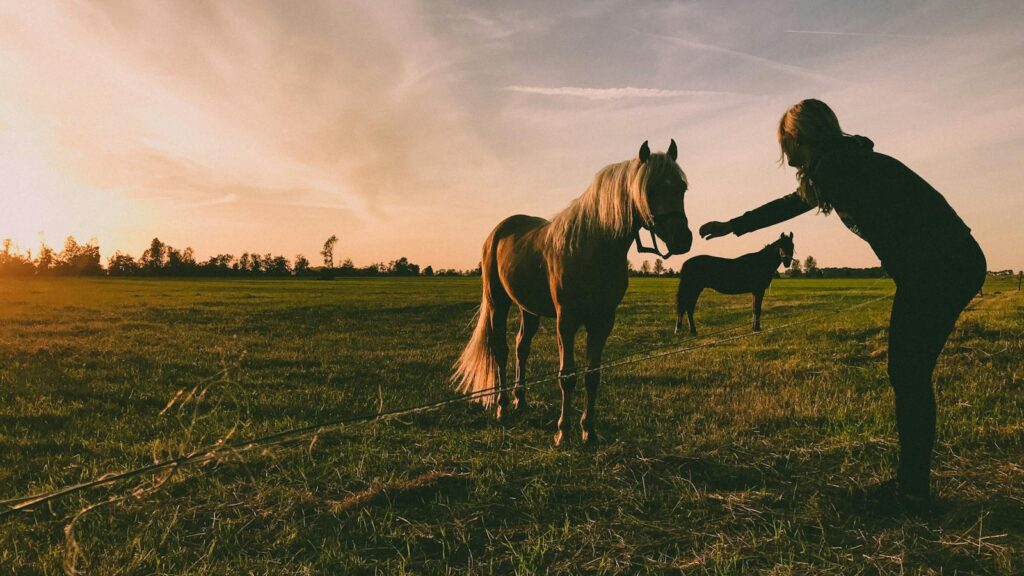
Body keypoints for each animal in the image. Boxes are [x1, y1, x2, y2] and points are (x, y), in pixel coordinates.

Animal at [453, 141, 692, 445]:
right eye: (650, 188)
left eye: (682, 187)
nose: (683, 239)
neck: (592, 247)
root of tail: (498, 232)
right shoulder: (565, 320)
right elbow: (567, 375)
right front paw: (563, 432)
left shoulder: (603, 321)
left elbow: (592, 375)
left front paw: (588, 430)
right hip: (498, 303)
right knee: (501, 351)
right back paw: (502, 408)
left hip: (528, 309)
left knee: (521, 347)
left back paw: (521, 401)